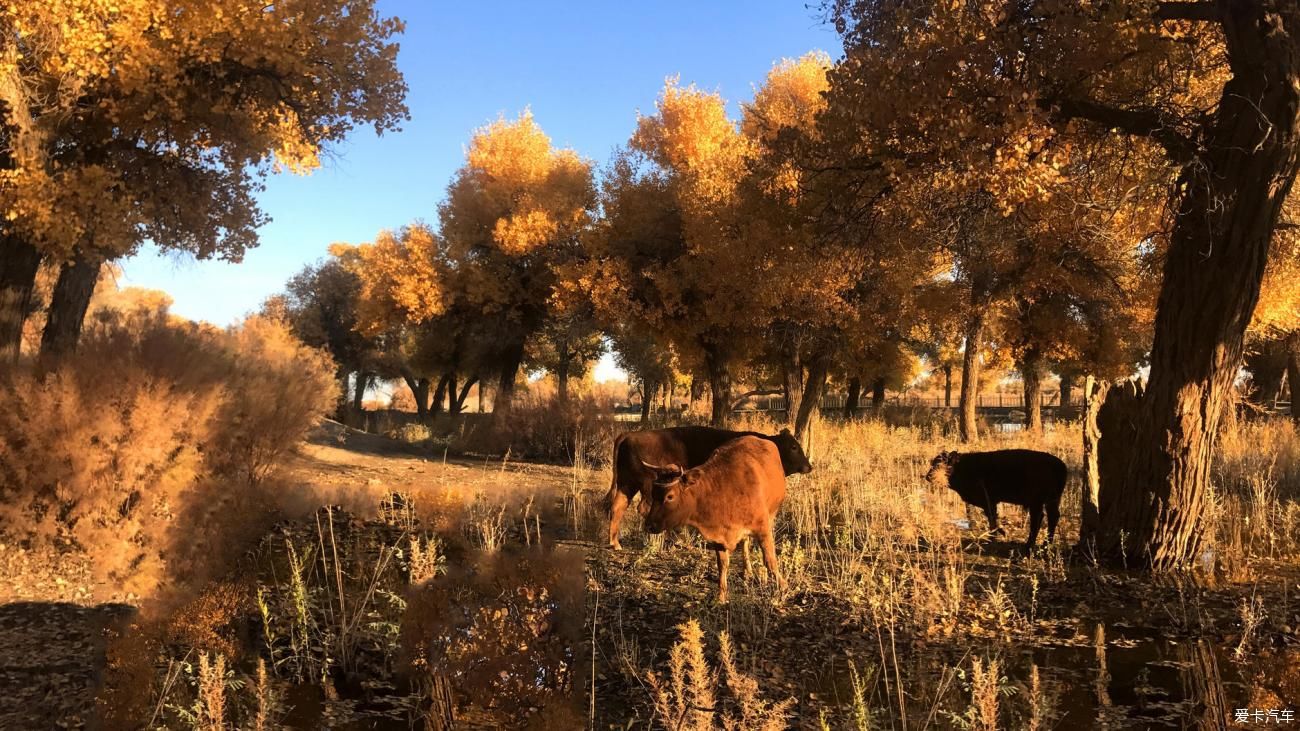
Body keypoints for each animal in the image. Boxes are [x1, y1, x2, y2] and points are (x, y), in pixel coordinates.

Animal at [600, 424, 806, 548]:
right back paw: (666, 539)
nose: (808, 466)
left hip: (627, 485)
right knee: (644, 508)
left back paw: (615, 543)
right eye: (794, 447)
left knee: (617, 507)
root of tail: (628, 435)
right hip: (645, 485)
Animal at [639, 434, 780, 600]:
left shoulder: (763, 528)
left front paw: (782, 588)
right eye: (653, 494)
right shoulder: (719, 536)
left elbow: (770, 561)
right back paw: (747, 571)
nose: (649, 525)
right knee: (745, 542)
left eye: (670, 496)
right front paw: (721, 596)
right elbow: (722, 565)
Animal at [930, 447, 1071, 543]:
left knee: (1038, 519)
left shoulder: (988, 501)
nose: (928, 476)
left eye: (939, 464)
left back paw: (1029, 546)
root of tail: (1059, 465)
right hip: (1052, 501)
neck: (962, 466)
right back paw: (1046, 544)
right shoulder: (992, 502)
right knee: (1053, 517)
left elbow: (992, 518)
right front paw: (998, 534)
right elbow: (992, 518)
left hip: (1036, 502)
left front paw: (999, 534)